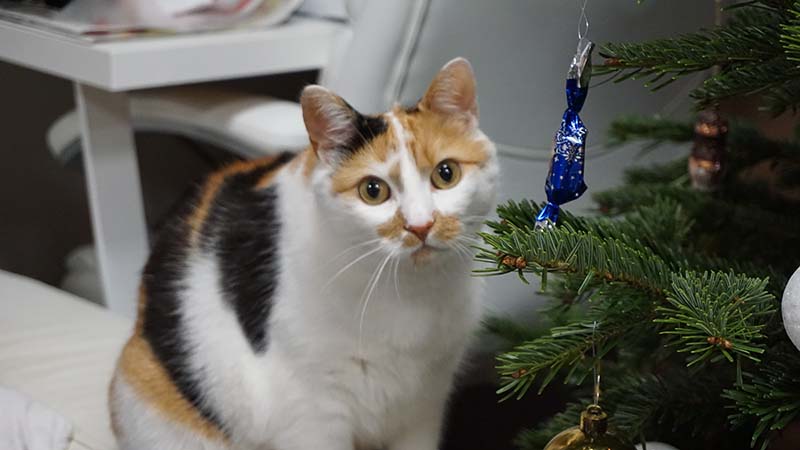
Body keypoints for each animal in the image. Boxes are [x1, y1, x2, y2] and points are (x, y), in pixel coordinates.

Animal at [109, 57, 498, 450]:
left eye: (446, 173)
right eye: (373, 190)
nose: (420, 226)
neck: (411, 295)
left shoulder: (425, 405)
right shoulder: (313, 410)